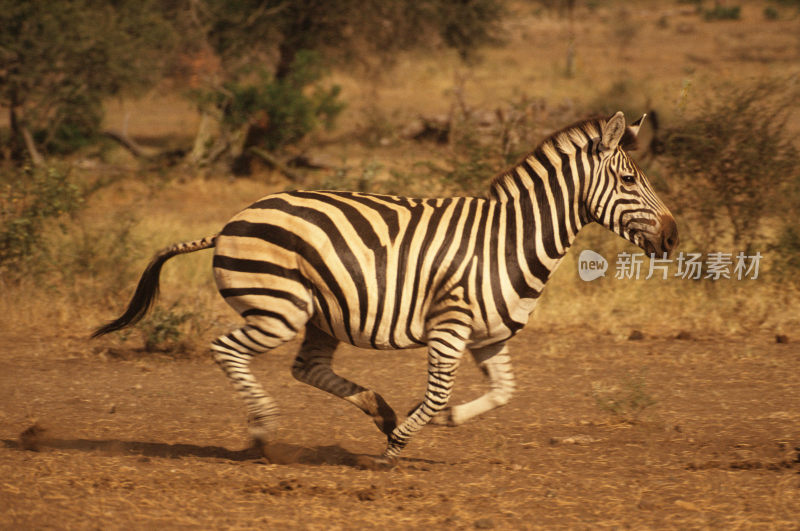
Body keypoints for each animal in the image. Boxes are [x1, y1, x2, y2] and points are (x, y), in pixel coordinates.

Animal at [94, 113, 680, 466]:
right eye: (630, 181)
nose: (674, 237)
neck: (510, 240)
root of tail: (229, 223)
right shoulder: (450, 326)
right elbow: (442, 388)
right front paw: (401, 443)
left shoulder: (489, 336)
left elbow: (503, 392)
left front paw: (443, 420)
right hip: (279, 308)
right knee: (227, 350)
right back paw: (263, 431)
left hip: (319, 314)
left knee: (306, 367)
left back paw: (379, 409)